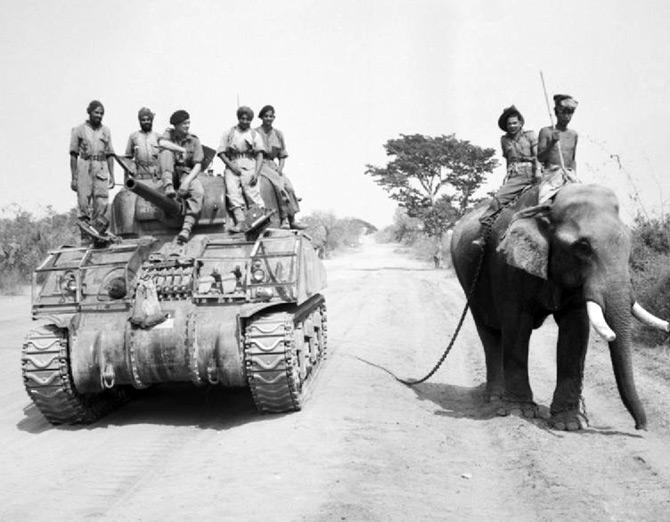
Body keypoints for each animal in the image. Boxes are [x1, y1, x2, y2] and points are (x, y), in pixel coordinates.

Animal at [448, 181, 668, 428]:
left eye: (629, 241)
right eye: (583, 247)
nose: (641, 426)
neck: (548, 208)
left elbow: (575, 329)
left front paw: (569, 423)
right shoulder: (507, 265)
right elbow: (517, 326)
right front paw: (521, 411)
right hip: (471, 283)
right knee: (489, 332)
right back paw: (496, 399)